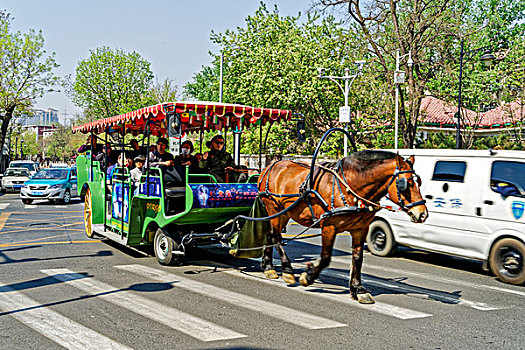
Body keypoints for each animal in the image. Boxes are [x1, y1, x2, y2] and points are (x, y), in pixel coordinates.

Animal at [256, 150, 426, 304]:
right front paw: (308, 276)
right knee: (276, 237)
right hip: (274, 208)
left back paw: (268, 266)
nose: (422, 214)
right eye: (406, 183)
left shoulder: (360, 229)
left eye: (419, 182)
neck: (350, 186)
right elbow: (325, 257)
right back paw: (287, 270)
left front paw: (358, 289)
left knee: (270, 234)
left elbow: (357, 258)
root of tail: (270, 166)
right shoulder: (329, 227)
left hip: (285, 213)